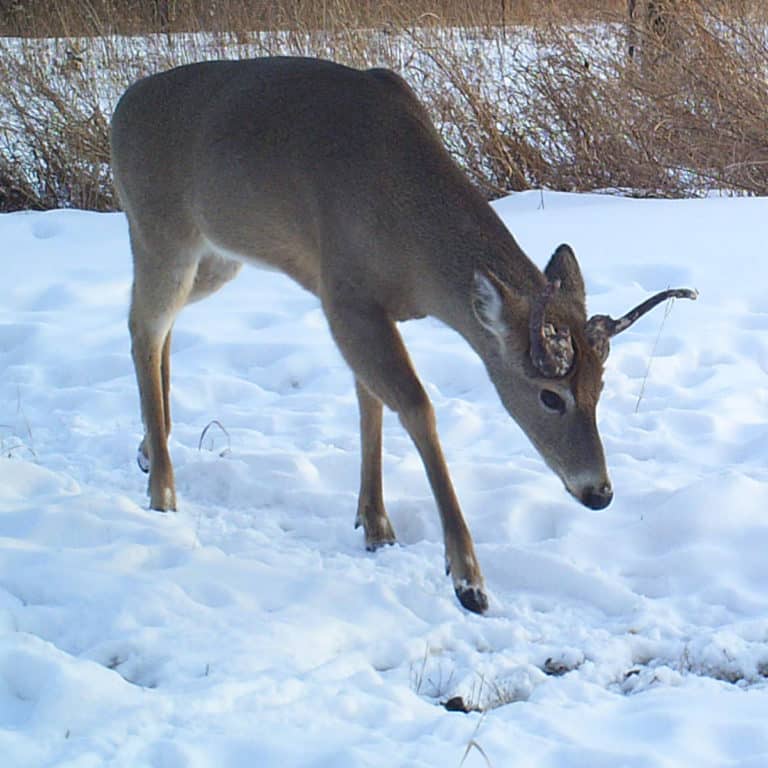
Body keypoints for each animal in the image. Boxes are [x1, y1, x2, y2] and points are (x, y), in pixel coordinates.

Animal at [111, 57, 696, 614]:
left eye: (600, 388)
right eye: (550, 396)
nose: (599, 493)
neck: (409, 245)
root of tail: (121, 105)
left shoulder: (364, 308)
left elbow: (370, 402)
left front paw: (375, 524)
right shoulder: (345, 295)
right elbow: (414, 406)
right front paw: (468, 579)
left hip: (217, 256)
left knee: (161, 325)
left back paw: (149, 448)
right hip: (161, 232)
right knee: (142, 326)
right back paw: (162, 489)